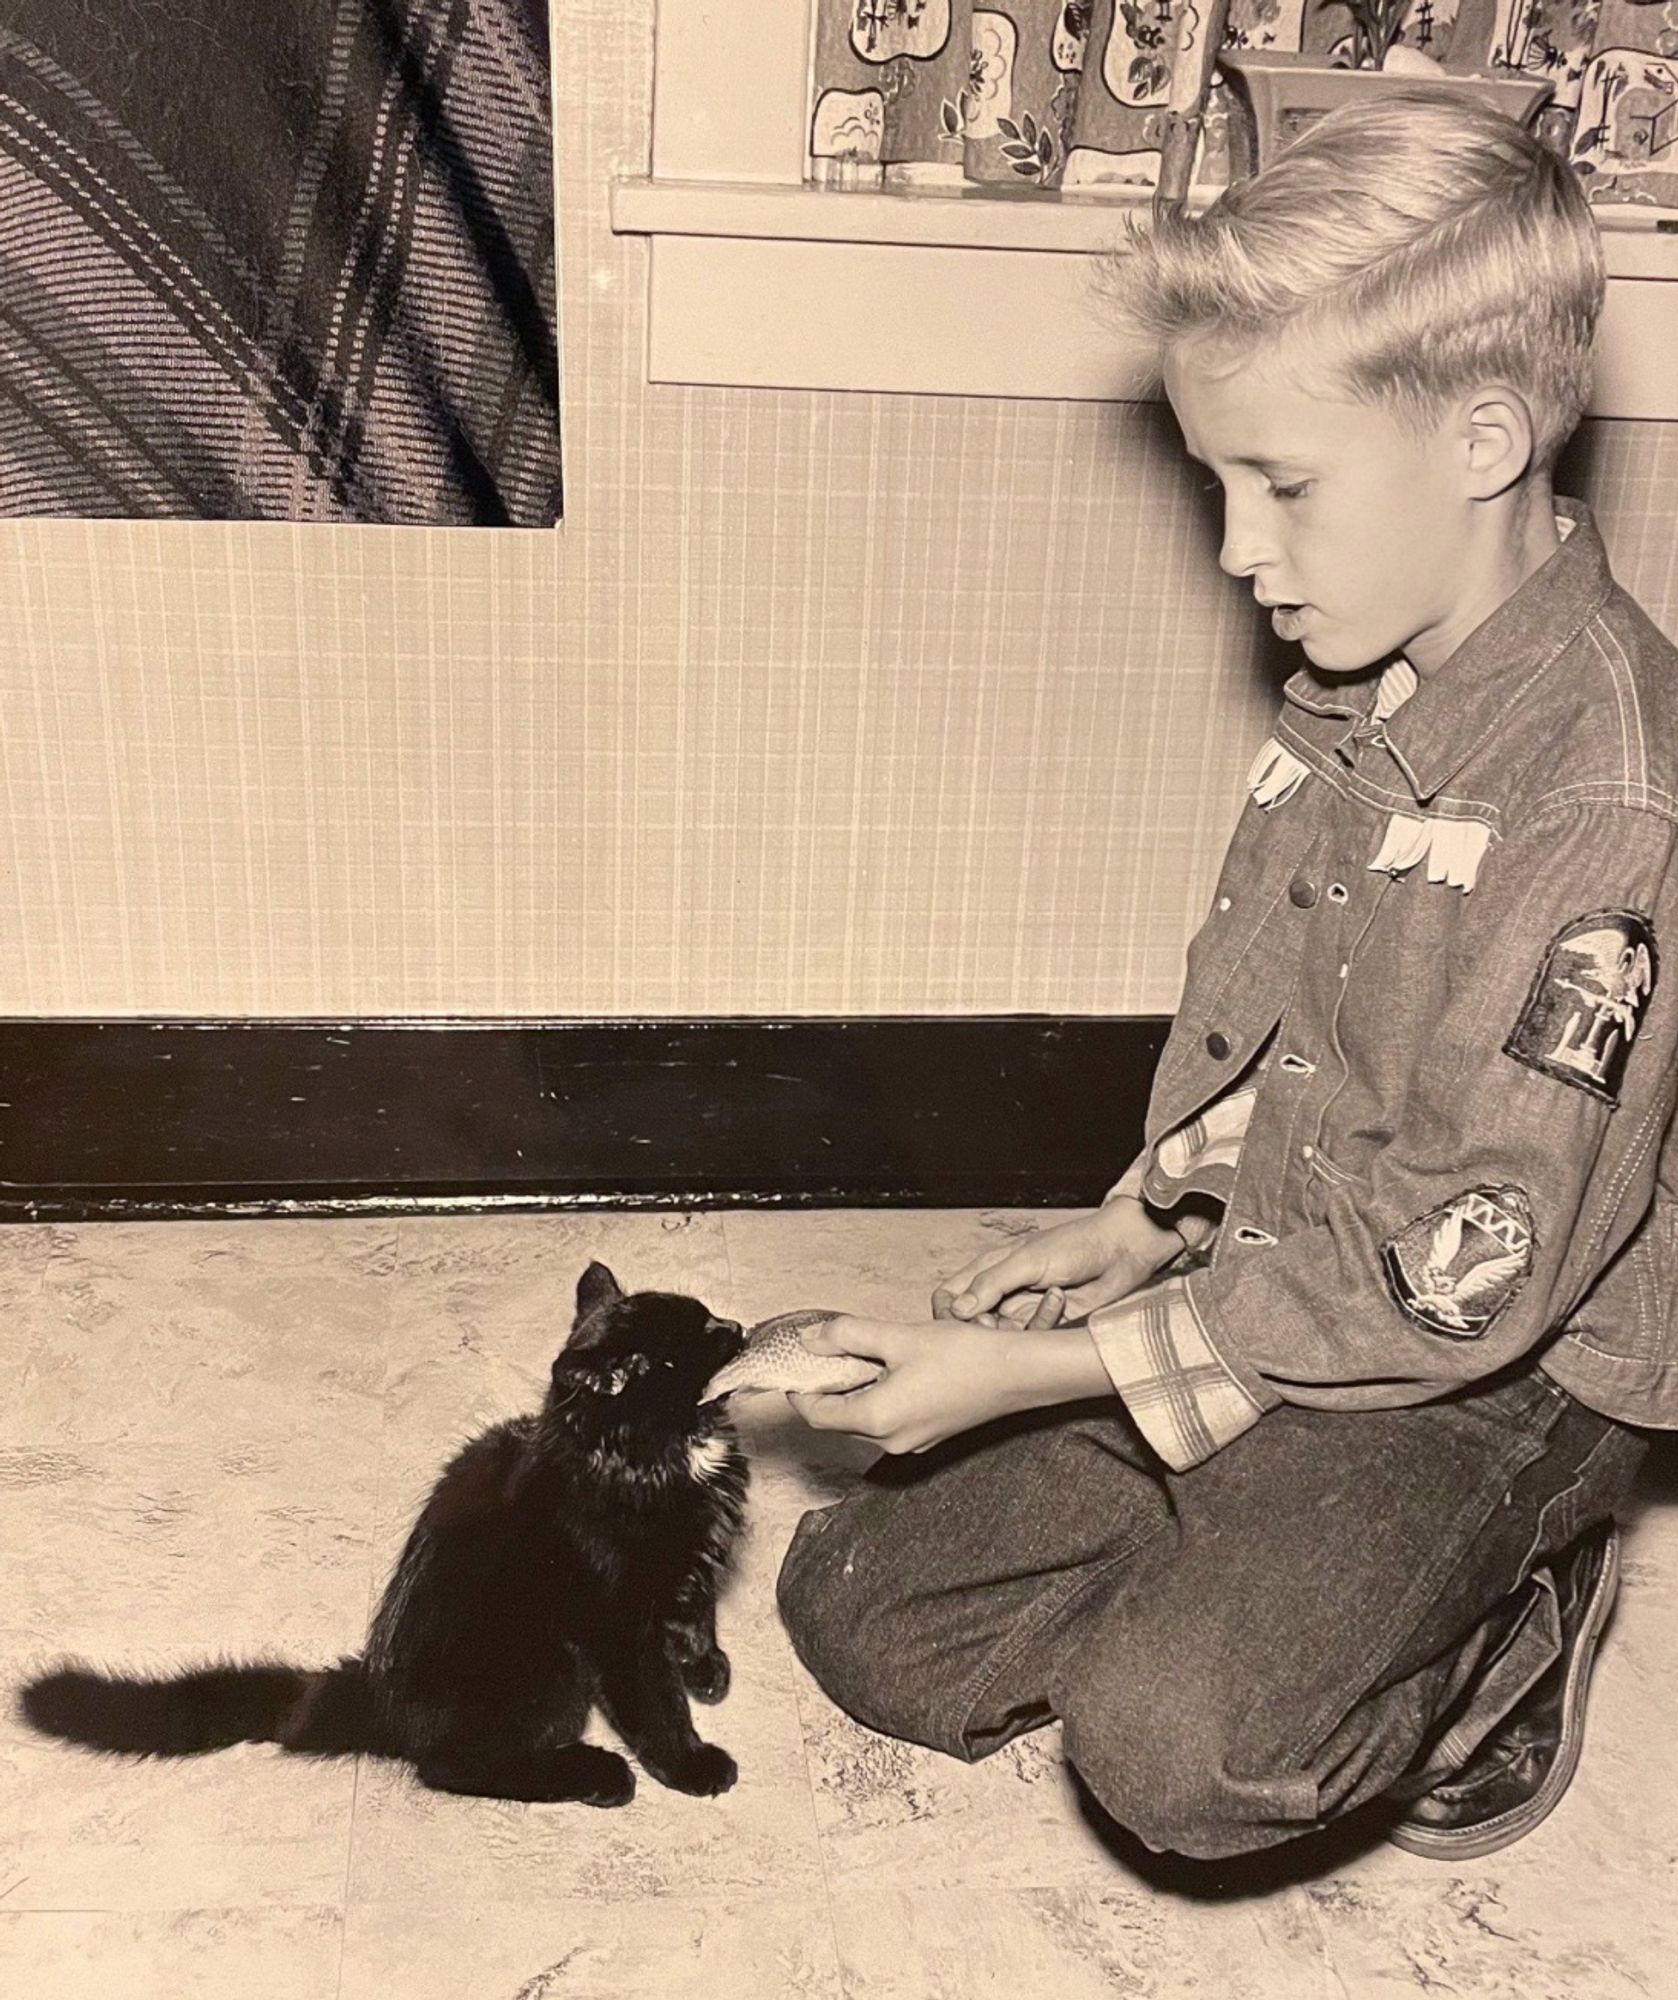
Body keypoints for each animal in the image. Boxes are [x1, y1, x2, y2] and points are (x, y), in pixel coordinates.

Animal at [18, 1264, 748, 1816]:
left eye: (712, 1316)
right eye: (691, 1345)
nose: (738, 1327)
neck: (659, 1459)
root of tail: (372, 1694)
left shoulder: (688, 1571)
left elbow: (697, 1615)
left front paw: (707, 1668)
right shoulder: (616, 1622)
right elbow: (653, 1703)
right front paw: (692, 1763)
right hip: (547, 1668)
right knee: (450, 1766)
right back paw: (594, 1773)